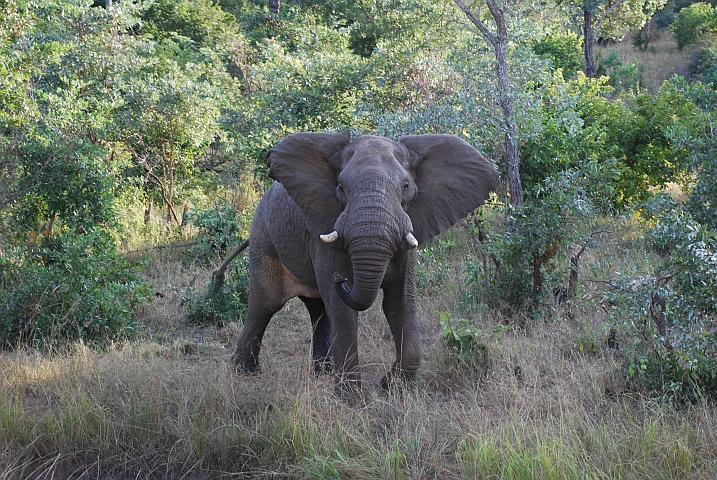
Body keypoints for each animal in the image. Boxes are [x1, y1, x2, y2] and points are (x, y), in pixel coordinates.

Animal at [233, 129, 499, 394]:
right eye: (340, 188)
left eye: (405, 187)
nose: (341, 279)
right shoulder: (325, 225)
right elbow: (344, 310)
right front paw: (352, 398)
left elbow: (399, 303)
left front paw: (393, 387)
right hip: (263, 238)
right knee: (265, 304)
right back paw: (244, 373)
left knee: (318, 310)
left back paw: (322, 375)